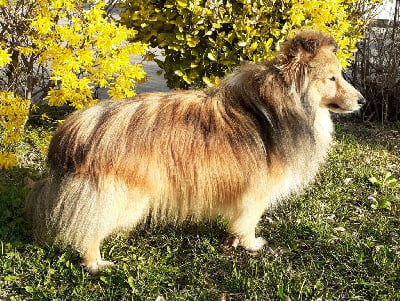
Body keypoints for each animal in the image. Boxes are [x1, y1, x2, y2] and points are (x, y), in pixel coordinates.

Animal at [26, 29, 366, 274]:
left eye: (340, 75)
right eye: (331, 77)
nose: (363, 101)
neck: (277, 105)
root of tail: (78, 129)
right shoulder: (257, 190)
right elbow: (249, 219)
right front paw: (251, 244)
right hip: (122, 195)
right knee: (90, 230)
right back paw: (95, 263)